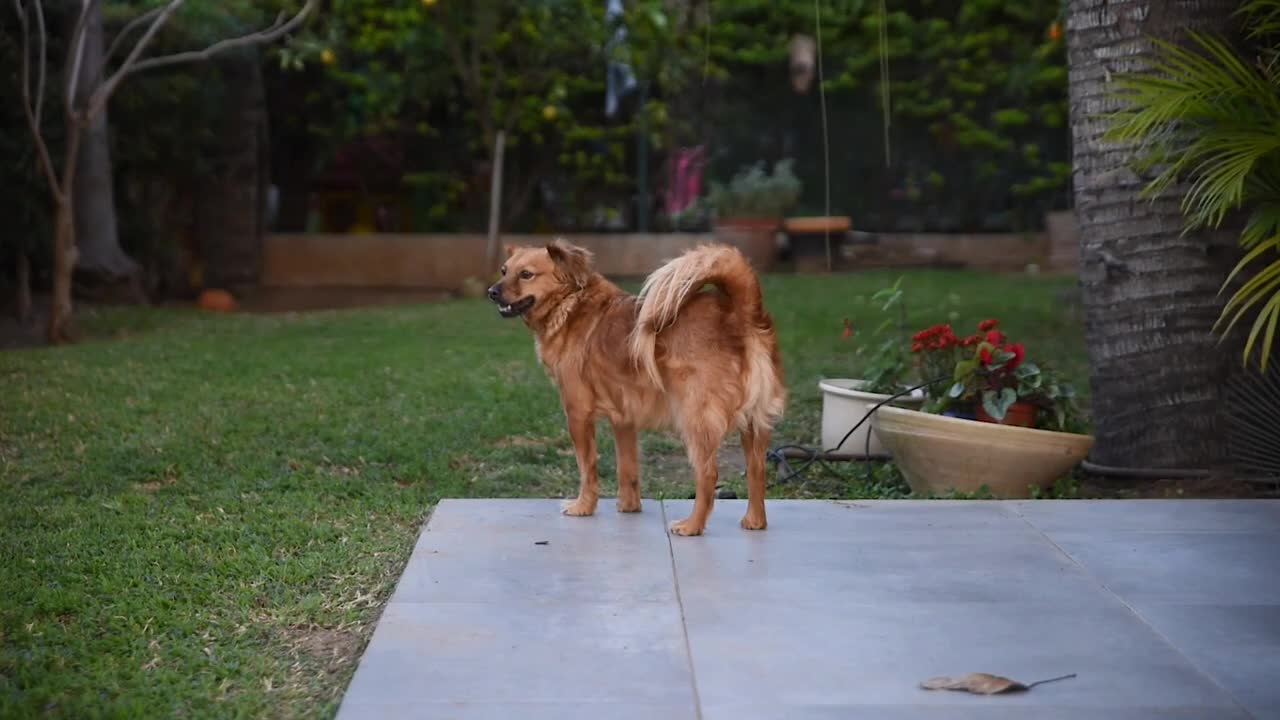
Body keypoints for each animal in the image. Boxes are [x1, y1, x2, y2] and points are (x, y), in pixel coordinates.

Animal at [488, 239, 783, 532]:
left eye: (526, 274)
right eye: (504, 271)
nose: (491, 292)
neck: (570, 303)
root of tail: (740, 313)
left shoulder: (578, 414)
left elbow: (587, 467)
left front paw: (583, 507)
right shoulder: (624, 419)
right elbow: (627, 468)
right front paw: (629, 508)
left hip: (694, 418)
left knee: (708, 474)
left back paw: (691, 526)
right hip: (755, 424)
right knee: (757, 470)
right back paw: (755, 522)